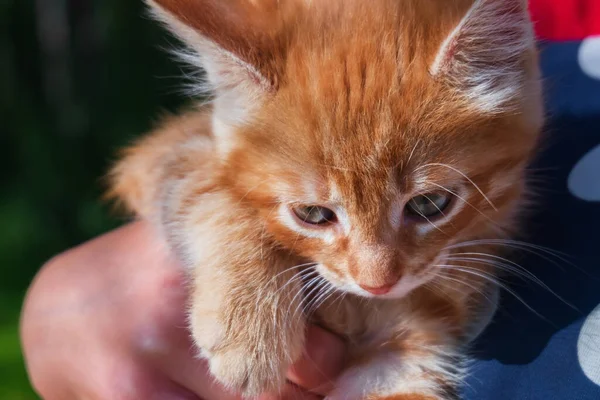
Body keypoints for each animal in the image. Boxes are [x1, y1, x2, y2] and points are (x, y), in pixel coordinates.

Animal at [109, 1, 544, 398]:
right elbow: (204, 185)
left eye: (429, 204)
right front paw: (248, 323)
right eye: (313, 214)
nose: (377, 284)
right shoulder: (160, 153)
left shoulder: (401, 353)